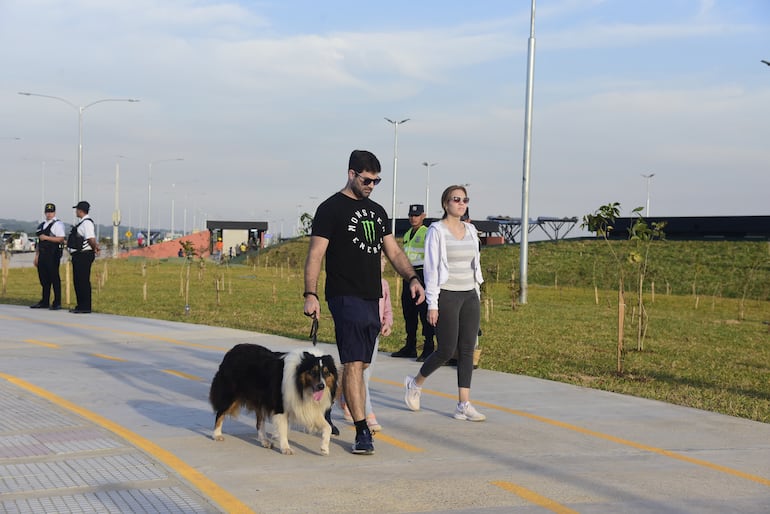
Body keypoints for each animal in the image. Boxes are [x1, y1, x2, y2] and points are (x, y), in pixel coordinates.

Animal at [207, 342, 336, 454]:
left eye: (326, 372)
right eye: (313, 372)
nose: (321, 386)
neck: (300, 383)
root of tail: (232, 351)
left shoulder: (309, 408)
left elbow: (328, 427)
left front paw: (324, 448)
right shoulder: (280, 406)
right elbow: (283, 429)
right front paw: (286, 448)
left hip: (260, 400)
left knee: (259, 423)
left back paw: (265, 441)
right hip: (231, 395)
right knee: (220, 413)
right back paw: (217, 435)